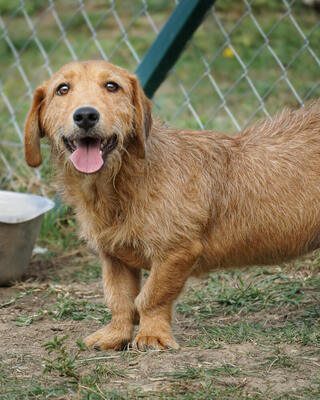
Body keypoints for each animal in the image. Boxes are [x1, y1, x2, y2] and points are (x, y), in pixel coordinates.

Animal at [23, 59, 320, 350]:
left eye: (112, 86)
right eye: (62, 89)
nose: (85, 115)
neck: (123, 183)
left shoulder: (177, 252)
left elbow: (151, 297)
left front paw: (151, 336)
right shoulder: (113, 257)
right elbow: (120, 300)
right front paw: (115, 335)